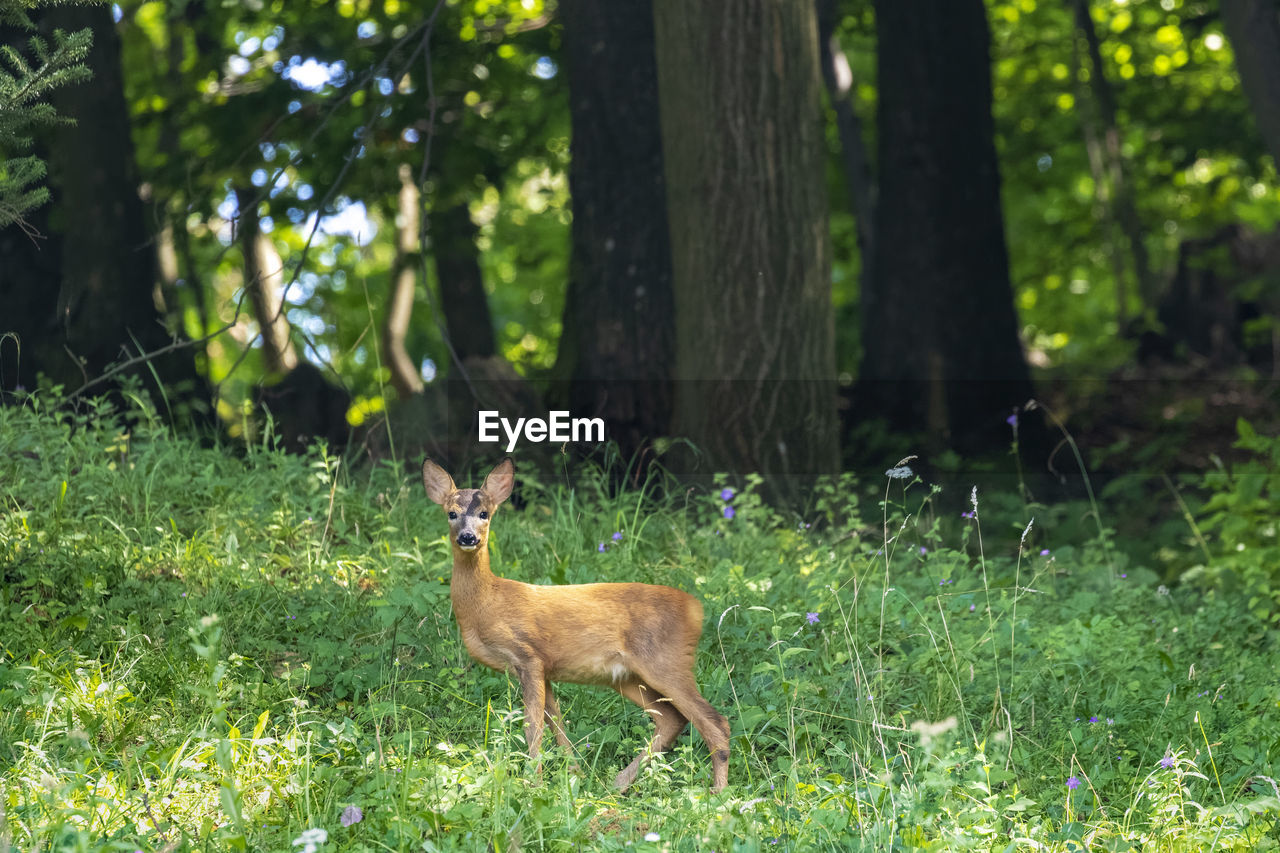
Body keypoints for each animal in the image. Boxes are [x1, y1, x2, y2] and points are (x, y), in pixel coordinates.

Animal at [422, 458, 732, 788]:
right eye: (451, 513)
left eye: (485, 513)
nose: (468, 537)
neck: (487, 604)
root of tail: (696, 608)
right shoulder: (543, 668)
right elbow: (556, 722)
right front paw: (573, 774)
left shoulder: (528, 655)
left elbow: (533, 727)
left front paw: (534, 783)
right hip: (628, 676)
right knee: (672, 719)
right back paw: (618, 783)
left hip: (667, 661)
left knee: (715, 721)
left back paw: (718, 793)